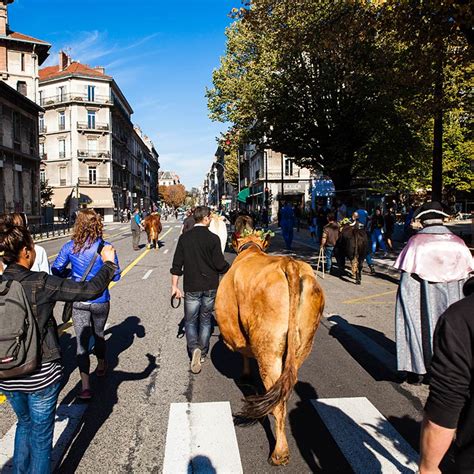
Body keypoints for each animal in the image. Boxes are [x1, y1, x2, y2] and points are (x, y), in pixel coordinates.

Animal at [216, 231, 324, 464]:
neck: (251, 249)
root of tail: (289, 264)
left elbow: (244, 353)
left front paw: (246, 376)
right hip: (303, 345)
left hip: (268, 349)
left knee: (277, 403)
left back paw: (279, 453)